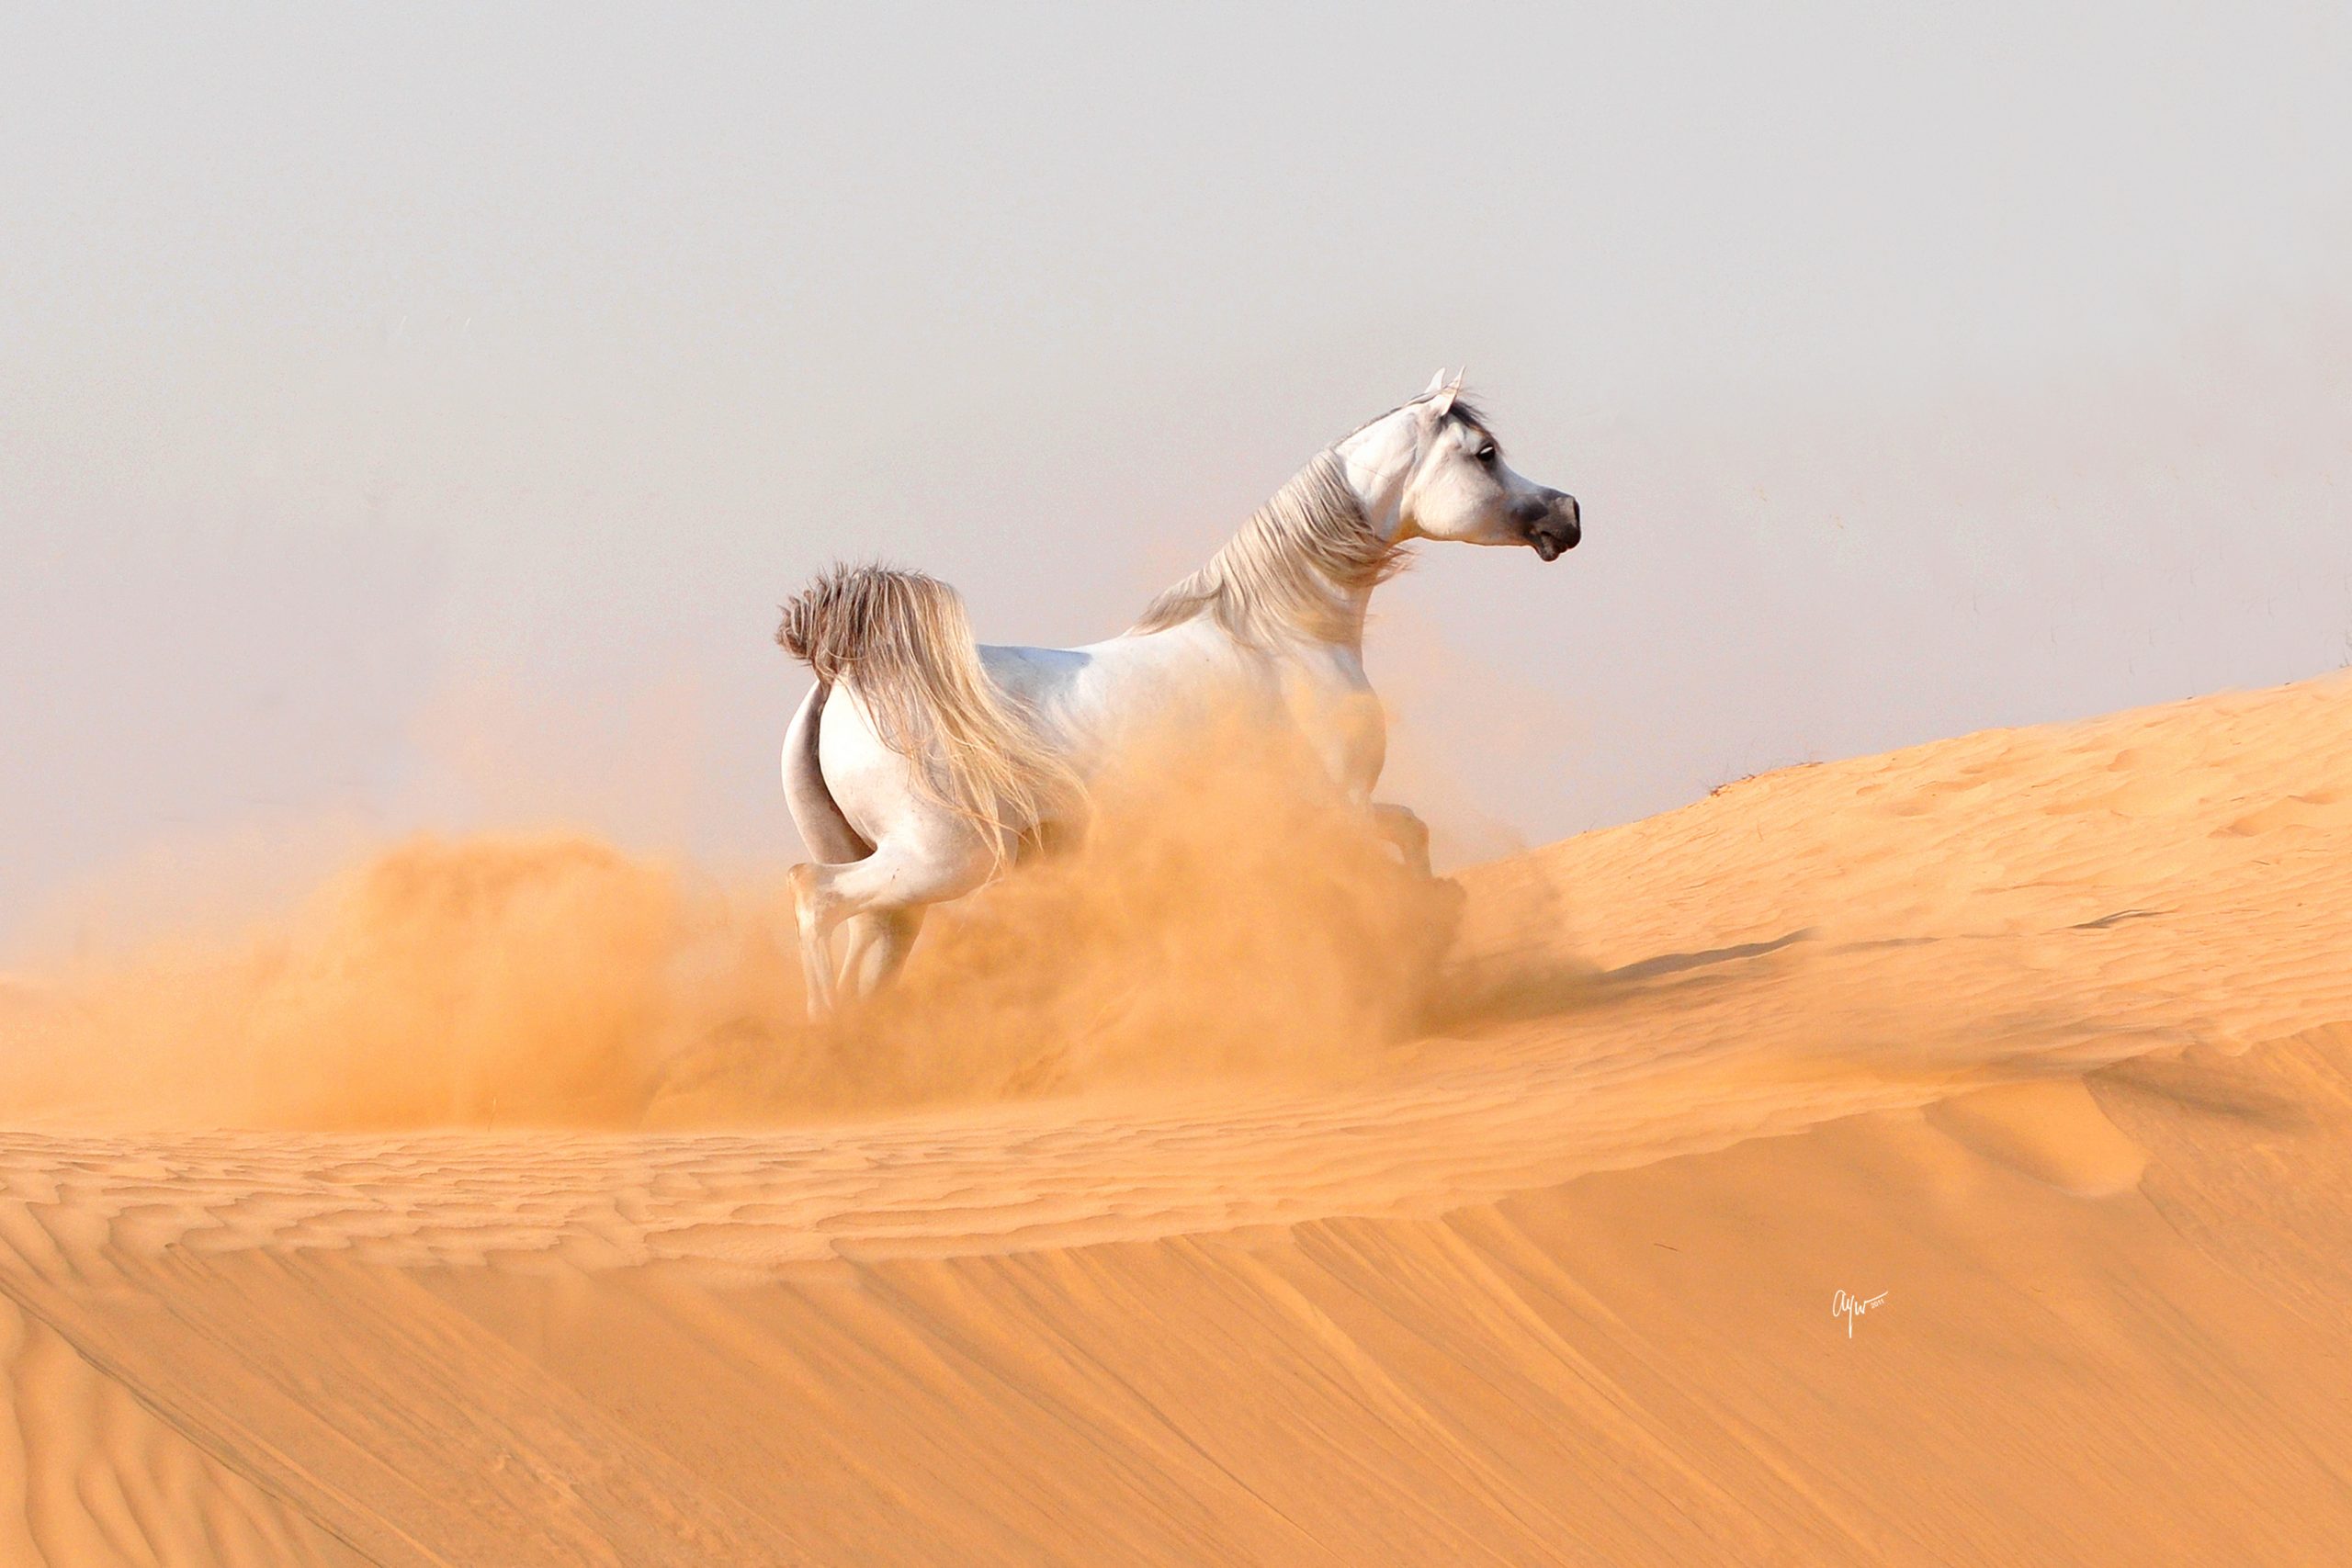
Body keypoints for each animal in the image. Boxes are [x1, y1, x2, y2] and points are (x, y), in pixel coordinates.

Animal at [775, 380, 1580, 1020]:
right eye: (1484, 453)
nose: (1567, 513)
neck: (1281, 635)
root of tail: (842, 678)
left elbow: (1412, 831)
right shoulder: (1340, 805)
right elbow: (1405, 840)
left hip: (905, 886)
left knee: (864, 945)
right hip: (940, 858)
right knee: (814, 895)